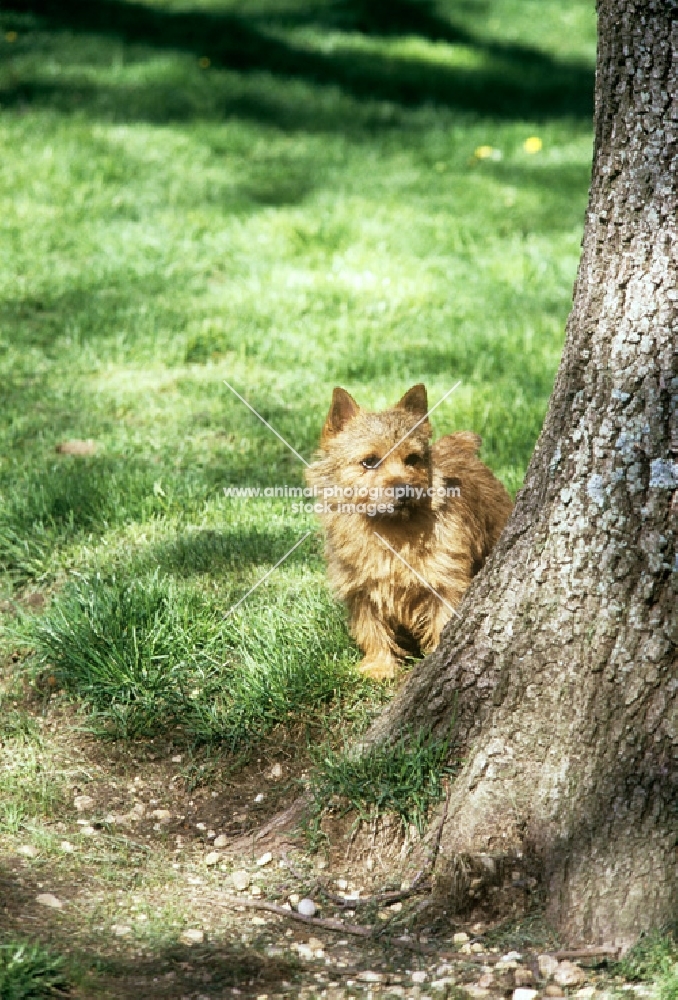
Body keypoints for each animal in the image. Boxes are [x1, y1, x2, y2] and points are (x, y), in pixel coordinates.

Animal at [306, 382, 512, 680]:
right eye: (369, 461)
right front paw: (379, 666)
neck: (392, 531)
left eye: (412, 459)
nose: (403, 490)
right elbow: (371, 629)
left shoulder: (445, 583)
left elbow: (441, 622)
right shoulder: (361, 589)